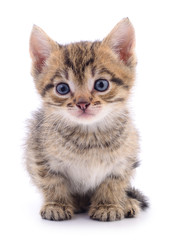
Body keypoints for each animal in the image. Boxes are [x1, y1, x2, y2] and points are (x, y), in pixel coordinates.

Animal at [25, 18, 148, 221]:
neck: (89, 135)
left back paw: (127, 202)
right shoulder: (39, 154)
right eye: (62, 88)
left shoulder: (124, 160)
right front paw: (57, 204)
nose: (83, 103)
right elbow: (52, 182)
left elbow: (113, 183)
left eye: (101, 84)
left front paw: (108, 205)